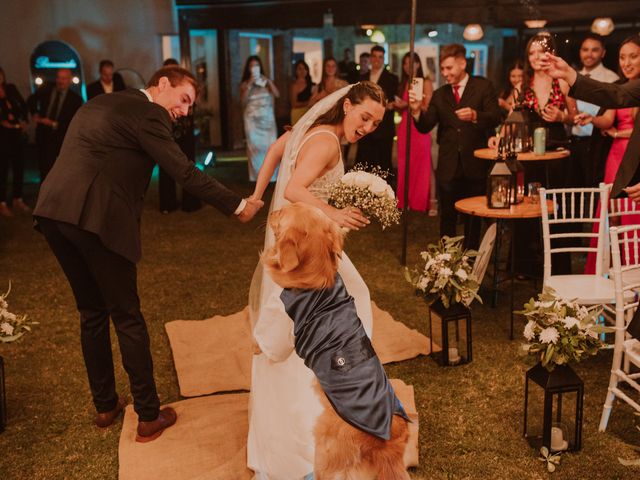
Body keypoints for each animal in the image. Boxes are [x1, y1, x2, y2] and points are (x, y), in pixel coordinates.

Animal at [262, 202, 408, 480]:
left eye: (284, 213)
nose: (271, 211)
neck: (317, 277)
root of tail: (385, 440)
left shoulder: (281, 321)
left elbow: (268, 344)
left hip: (324, 447)